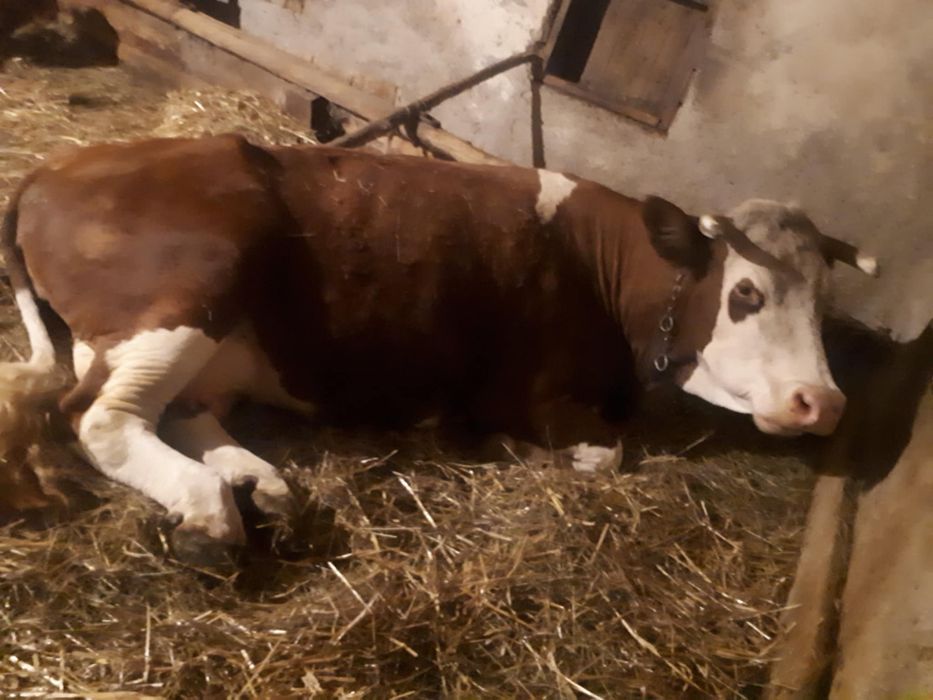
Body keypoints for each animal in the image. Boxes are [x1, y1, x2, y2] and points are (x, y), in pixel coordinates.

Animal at [0, 134, 877, 564]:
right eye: (746, 293)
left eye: (823, 299)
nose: (823, 402)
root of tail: (56, 165)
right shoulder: (532, 395)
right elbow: (602, 457)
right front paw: (513, 453)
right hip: (196, 284)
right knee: (99, 415)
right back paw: (208, 507)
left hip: (219, 339)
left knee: (183, 412)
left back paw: (258, 483)